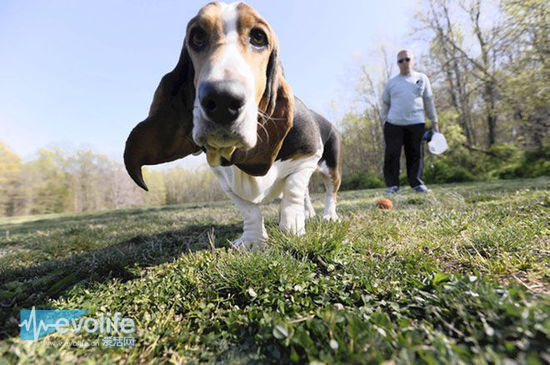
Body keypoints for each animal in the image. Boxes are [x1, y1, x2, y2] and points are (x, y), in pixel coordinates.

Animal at [125, 1, 340, 249]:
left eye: (258, 37)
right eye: (197, 36)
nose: (222, 100)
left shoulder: (308, 155)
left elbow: (292, 193)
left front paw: (292, 230)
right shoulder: (224, 180)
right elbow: (249, 210)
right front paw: (252, 241)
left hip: (330, 166)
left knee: (329, 191)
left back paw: (329, 216)